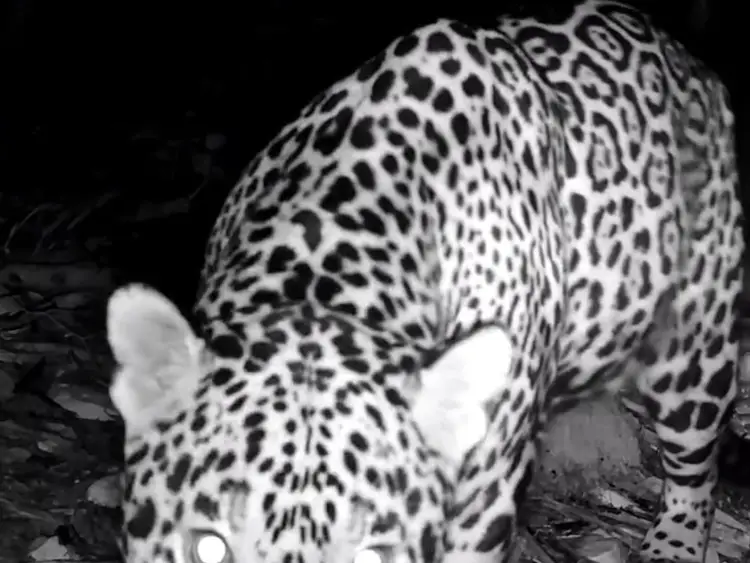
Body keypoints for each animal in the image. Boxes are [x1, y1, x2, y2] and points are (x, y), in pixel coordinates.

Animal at [105, 1, 744, 562]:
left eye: (371, 554)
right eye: (208, 546)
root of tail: (692, 60)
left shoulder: (483, 496)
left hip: (697, 350)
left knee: (699, 464)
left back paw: (673, 544)